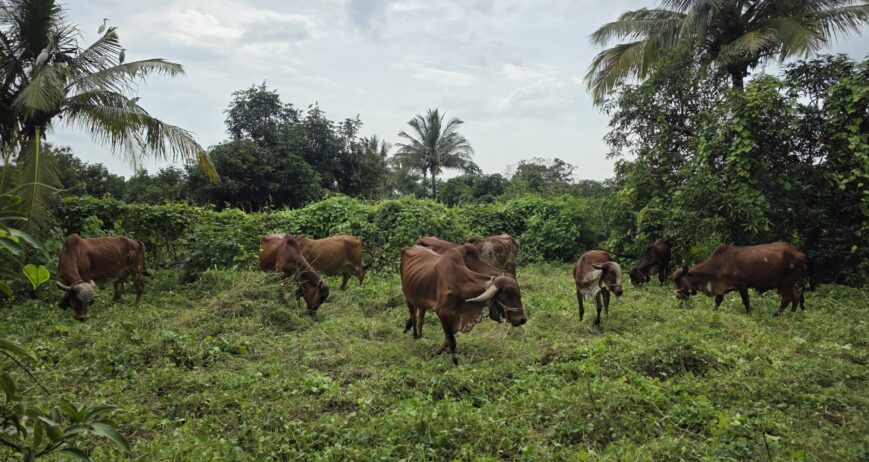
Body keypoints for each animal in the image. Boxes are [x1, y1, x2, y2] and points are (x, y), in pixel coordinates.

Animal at [672, 243, 806, 315]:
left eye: (678, 280)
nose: (678, 296)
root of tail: (800, 253)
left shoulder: (742, 284)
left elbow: (746, 301)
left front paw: (749, 314)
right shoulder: (721, 286)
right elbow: (717, 301)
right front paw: (714, 312)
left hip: (787, 281)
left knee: (786, 298)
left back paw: (776, 315)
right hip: (785, 283)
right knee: (796, 296)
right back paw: (791, 314)